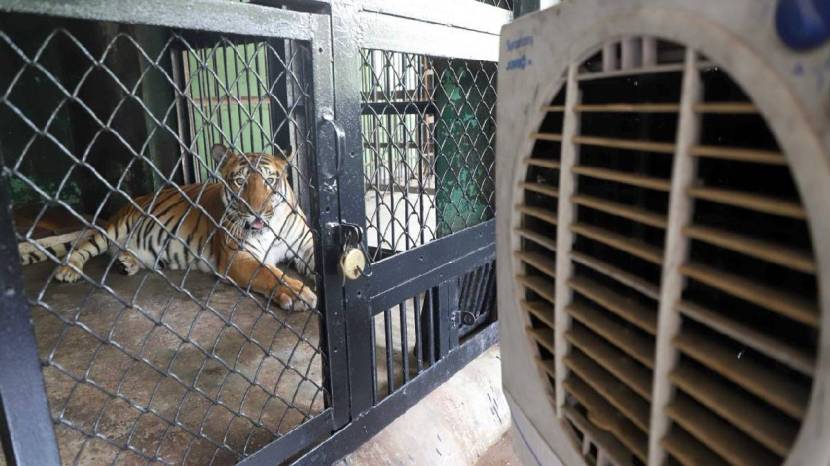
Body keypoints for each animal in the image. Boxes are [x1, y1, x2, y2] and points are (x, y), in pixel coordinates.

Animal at [52, 144, 318, 312]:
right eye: (240, 182)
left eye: (269, 181)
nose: (256, 212)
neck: (272, 228)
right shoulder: (238, 256)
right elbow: (268, 273)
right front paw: (298, 294)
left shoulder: (305, 244)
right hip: (112, 230)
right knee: (83, 247)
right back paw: (68, 270)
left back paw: (127, 262)